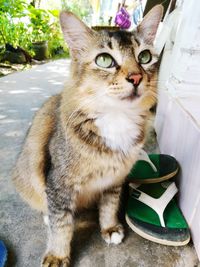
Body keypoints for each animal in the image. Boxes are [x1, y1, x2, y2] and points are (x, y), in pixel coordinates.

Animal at [12, 4, 162, 267]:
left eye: (144, 57)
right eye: (104, 60)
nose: (136, 78)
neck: (116, 118)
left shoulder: (115, 179)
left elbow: (109, 206)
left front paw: (110, 228)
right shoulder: (58, 182)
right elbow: (61, 224)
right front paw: (57, 255)